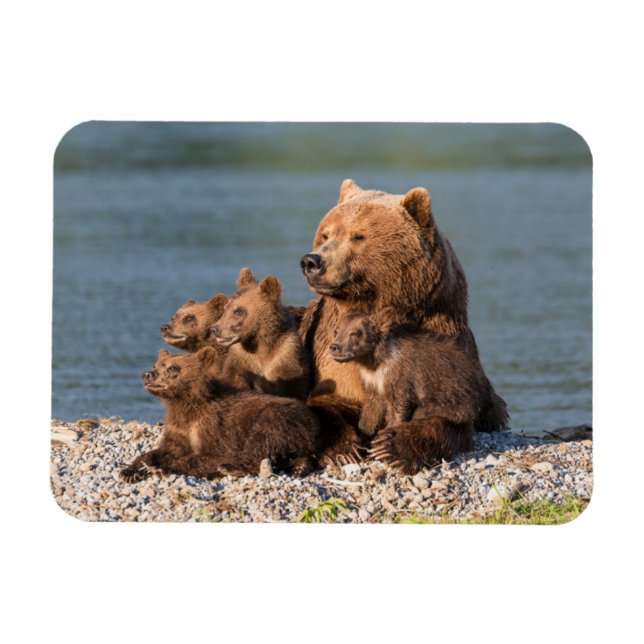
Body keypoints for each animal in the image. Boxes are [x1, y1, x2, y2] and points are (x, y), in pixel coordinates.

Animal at [119, 347, 319, 483]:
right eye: (156, 364)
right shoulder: (179, 428)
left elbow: (213, 455)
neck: (185, 404)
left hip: (280, 418)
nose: (148, 374)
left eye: (173, 368)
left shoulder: (215, 426)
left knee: (262, 443)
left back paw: (231, 468)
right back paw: (298, 467)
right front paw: (130, 471)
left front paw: (162, 468)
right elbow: (164, 449)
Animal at [299, 178, 508, 437]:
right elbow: (335, 399)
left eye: (357, 236)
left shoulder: (440, 336)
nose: (312, 261)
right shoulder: (331, 355)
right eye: (325, 234)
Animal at [330, 310, 495, 473]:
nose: (335, 346)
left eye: (356, 332)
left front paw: (382, 441)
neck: (375, 361)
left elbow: (398, 407)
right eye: (337, 330)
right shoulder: (372, 382)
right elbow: (371, 411)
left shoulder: (402, 377)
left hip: (454, 400)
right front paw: (361, 439)